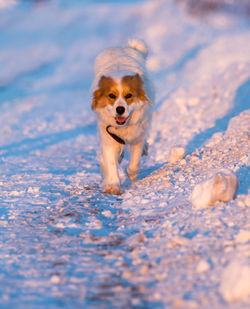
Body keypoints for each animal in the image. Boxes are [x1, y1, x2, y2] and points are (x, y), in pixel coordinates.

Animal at [91, 38, 154, 192]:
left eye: (129, 95)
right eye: (111, 96)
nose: (120, 109)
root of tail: (119, 47)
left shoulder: (137, 136)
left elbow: (134, 163)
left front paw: (130, 173)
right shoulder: (108, 137)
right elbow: (110, 162)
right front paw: (113, 185)